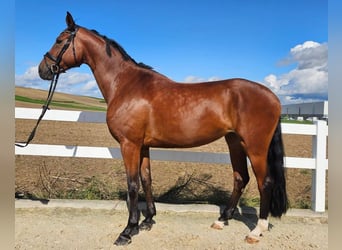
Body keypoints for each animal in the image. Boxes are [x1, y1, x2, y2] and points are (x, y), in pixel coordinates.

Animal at [38, 12, 288, 245]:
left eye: (59, 41)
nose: (43, 70)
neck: (125, 84)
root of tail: (273, 97)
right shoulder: (143, 146)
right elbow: (146, 179)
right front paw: (148, 220)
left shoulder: (129, 145)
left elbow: (132, 184)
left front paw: (128, 230)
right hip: (234, 141)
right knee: (240, 178)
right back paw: (222, 219)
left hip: (255, 147)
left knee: (264, 182)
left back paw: (256, 231)